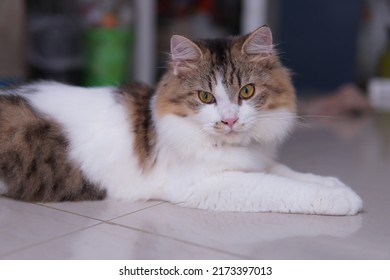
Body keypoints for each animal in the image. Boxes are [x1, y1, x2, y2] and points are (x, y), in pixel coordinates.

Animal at [0, 25, 362, 214]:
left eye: (246, 91)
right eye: (205, 97)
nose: (229, 120)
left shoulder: (254, 161)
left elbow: (288, 172)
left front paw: (334, 183)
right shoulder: (206, 184)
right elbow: (281, 186)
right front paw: (342, 198)